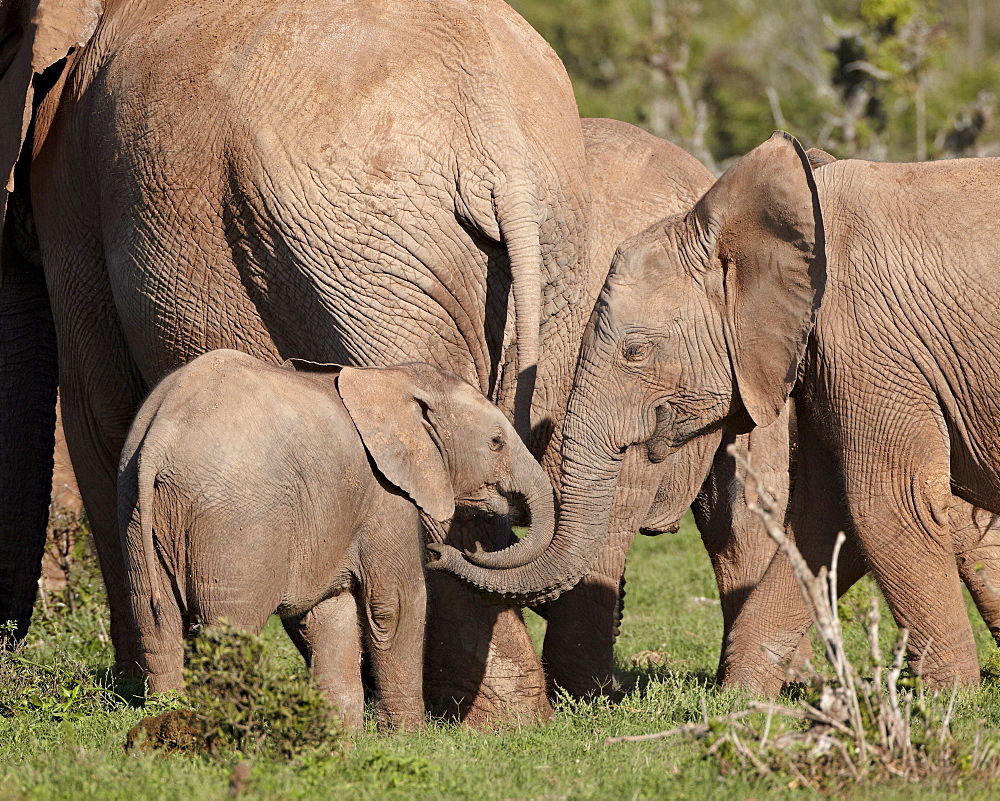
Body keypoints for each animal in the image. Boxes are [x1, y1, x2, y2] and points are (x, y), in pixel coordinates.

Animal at [119, 350, 556, 732]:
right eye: (497, 442)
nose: (438, 551)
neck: (390, 378)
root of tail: (162, 435)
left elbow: (329, 612)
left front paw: (342, 737)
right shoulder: (385, 494)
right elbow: (395, 605)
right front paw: (405, 738)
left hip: (135, 510)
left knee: (154, 617)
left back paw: (166, 717)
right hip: (236, 521)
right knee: (230, 626)